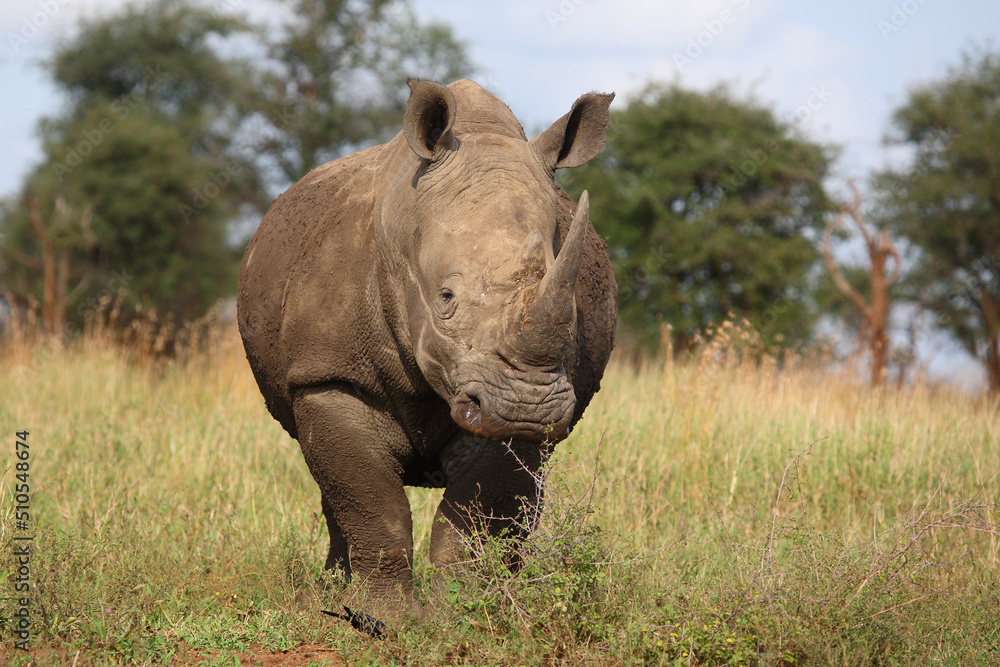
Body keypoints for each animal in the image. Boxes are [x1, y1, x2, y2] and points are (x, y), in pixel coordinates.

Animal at [237, 79, 617, 602]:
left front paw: (464, 609)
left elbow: (476, 517)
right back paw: (334, 592)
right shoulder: (328, 375)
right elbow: (373, 504)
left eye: (576, 306)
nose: (527, 408)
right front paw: (382, 615)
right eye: (446, 298)